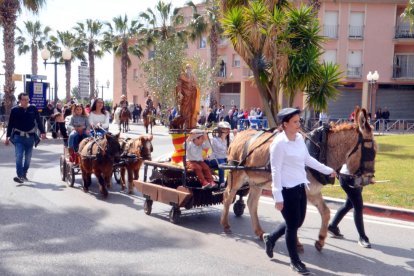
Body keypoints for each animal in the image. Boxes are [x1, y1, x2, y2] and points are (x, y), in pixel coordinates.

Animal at [222, 109, 376, 251]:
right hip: (236, 174)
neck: (321, 148)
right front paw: (296, 243)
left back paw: (260, 232)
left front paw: (320, 240)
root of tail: (239, 134)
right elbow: (296, 218)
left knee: (252, 203)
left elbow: (325, 212)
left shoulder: (313, 191)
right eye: (372, 151)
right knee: (228, 196)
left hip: (256, 182)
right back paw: (225, 225)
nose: (369, 180)